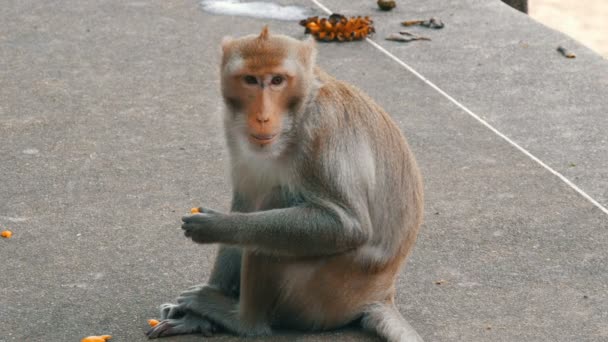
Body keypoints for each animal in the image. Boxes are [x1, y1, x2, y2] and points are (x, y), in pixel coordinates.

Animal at [146, 27, 422, 342]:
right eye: (250, 79)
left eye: (277, 80)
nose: (262, 117)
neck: (296, 116)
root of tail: (381, 294)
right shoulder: (232, 127)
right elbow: (245, 200)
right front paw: (192, 319)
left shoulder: (321, 127)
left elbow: (348, 225)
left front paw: (221, 226)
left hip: (323, 295)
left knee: (275, 204)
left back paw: (243, 320)